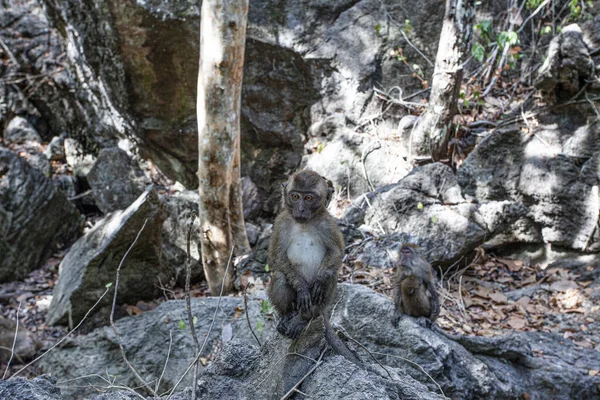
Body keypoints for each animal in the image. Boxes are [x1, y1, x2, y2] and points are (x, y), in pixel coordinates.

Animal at [268, 169, 360, 366]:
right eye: (295, 196)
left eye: (309, 198)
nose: (301, 209)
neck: (305, 223)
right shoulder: (281, 222)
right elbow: (277, 257)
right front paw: (302, 287)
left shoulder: (329, 223)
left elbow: (337, 253)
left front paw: (319, 280)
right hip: (296, 304)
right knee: (280, 276)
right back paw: (287, 315)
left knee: (331, 276)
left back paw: (305, 318)